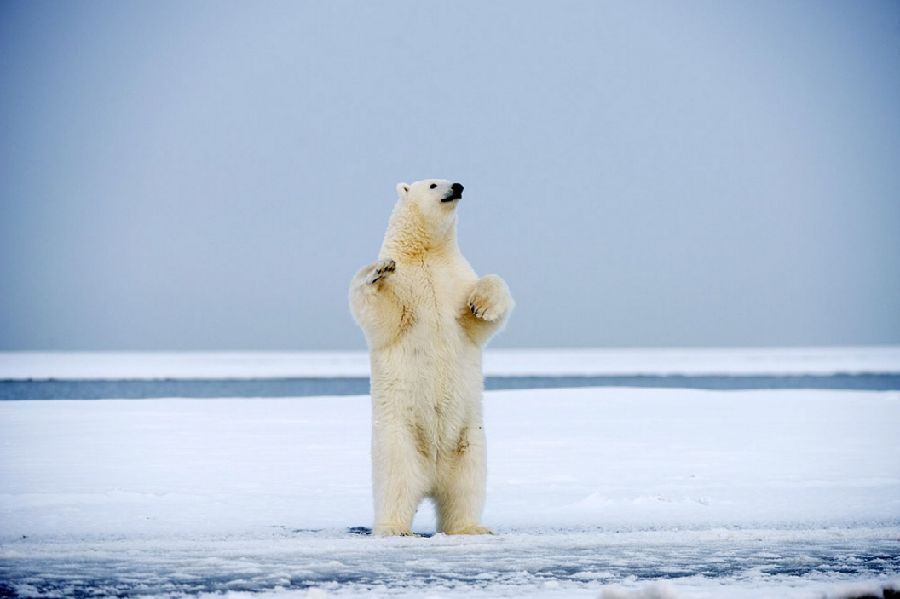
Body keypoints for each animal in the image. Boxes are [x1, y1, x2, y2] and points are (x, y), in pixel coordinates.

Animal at [348, 179, 512, 540]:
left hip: (469, 439)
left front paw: (481, 303)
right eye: (433, 183)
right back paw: (394, 529)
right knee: (396, 482)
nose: (458, 186)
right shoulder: (407, 286)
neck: (427, 253)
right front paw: (377, 271)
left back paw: (471, 528)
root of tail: (432, 479)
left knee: (465, 486)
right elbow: (382, 316)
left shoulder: (456, 279)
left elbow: (477, 322)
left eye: (451, 178)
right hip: (399, 437)